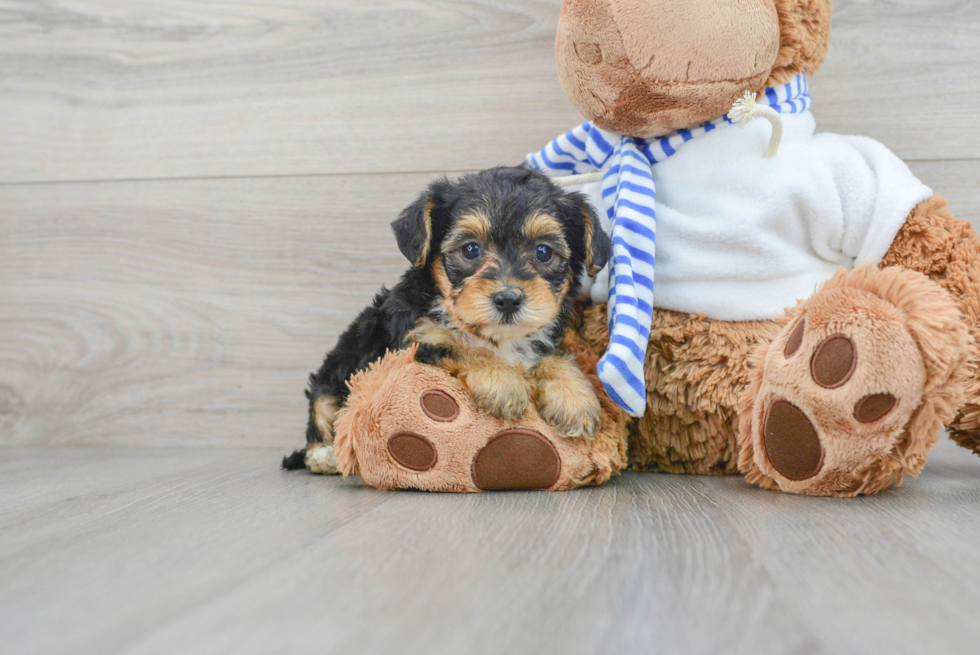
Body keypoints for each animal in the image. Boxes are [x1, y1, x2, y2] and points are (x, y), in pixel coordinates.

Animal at [280, 165, 608, 472]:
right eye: (471, 249)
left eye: (543, 252)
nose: (508, 299)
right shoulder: (413, 342)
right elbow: (461, 347)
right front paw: (503, 382)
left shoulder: (544, 340)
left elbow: (556, 357)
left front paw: (575, 398)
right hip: (330, 380)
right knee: (320, 418)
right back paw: (325, 456)